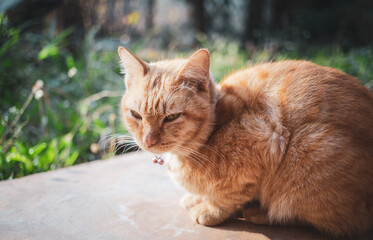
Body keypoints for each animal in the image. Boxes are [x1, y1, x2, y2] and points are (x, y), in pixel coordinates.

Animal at [118, 47, 372, 236]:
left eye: (171, 117)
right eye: (136, 115)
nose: (148, 141)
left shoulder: (269, 140)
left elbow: (227, 197)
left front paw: (210, 210)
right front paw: (197, 198)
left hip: (310, 151)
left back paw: (262, 213)